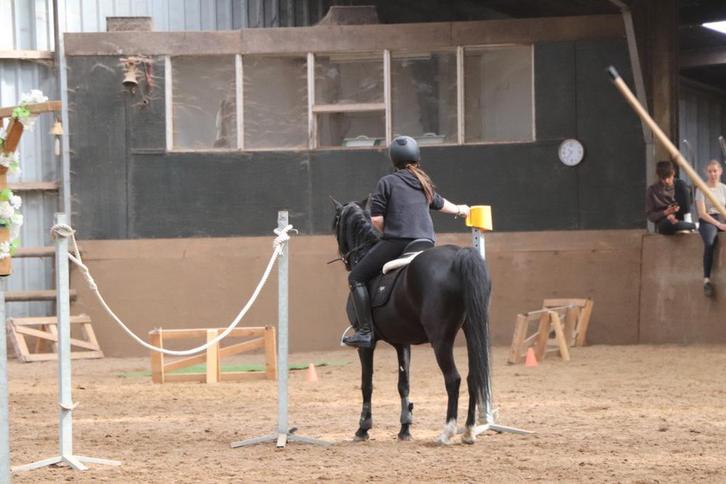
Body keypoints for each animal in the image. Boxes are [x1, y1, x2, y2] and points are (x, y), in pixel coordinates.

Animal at [331, 197, 492, 444]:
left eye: (336, 223)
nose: (346, 260)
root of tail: (458, 255)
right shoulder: (402, 342)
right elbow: (403, 385)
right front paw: (405, 428)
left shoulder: (366, 346)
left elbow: (366, 384)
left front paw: (363, 429)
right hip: (472, 331)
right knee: (473, 376)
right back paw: (468, 431)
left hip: (441, 339)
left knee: (453, 379)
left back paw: (447, 431)